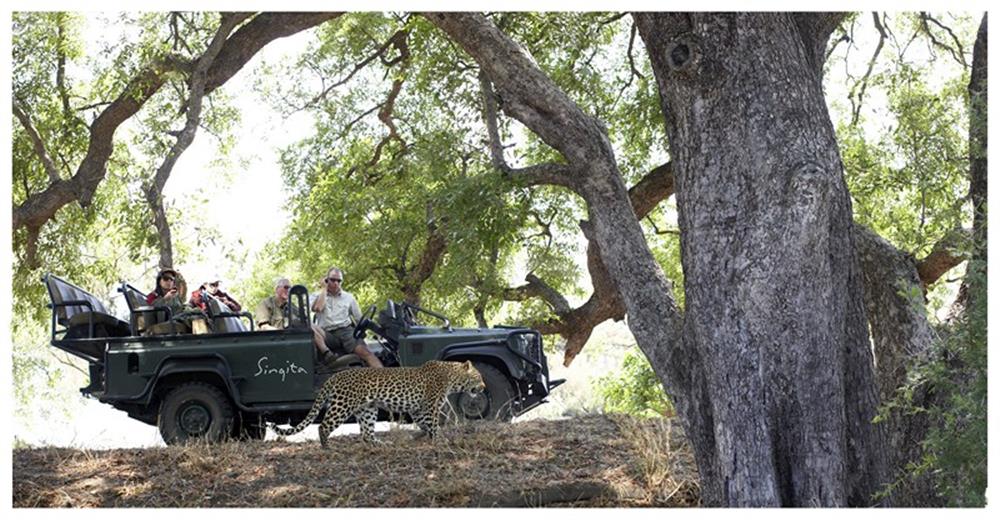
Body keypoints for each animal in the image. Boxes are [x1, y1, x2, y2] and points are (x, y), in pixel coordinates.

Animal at [266, 360, 484, 444]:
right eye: (479, 377)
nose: (483, 387)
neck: (452, 377)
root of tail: (335, 376)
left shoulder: (418, 409)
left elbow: (425, 424)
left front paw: (422, 436)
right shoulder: (430, 406)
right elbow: (434, 424)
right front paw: (439, 439)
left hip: (367, 410)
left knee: (366, 434)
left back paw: (380, 443)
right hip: (342, 405)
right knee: (324, 426)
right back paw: (326, 447)